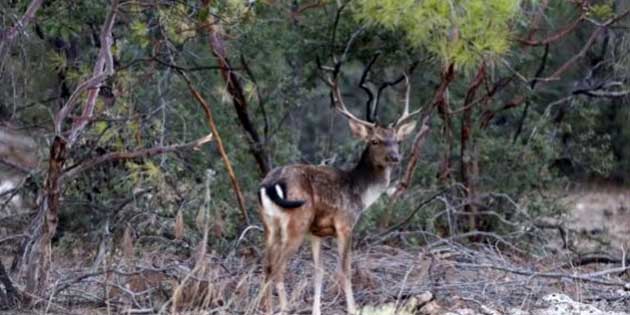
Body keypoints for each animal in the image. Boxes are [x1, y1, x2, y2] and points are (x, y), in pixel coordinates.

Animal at [256, 71, 420, 315]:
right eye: (375, 141)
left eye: (398, 141)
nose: (394, 157)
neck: (360, 194)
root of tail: (270, 183)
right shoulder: (345, 224)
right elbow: (345, 270)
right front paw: (352, 308)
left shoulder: (316, 234)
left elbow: (318, 273)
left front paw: (316, 310)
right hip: (296, 221)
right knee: (278, 267)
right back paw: (282, 308)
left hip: (269, 225)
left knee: (266, 265)